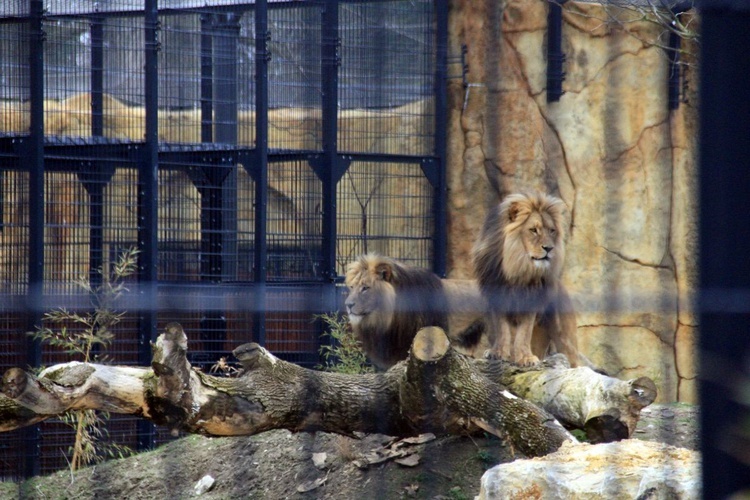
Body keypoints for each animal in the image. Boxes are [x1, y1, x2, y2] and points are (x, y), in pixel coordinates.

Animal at [472, 191, 584, 368]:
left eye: (551, 230)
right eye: (533, 230)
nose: (549, 248)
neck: (517, 267)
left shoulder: (531, 301)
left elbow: (523, 333)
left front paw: (525, 358)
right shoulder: (496, 299)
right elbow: (502, 330)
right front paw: (497, 353)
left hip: (564, 337)